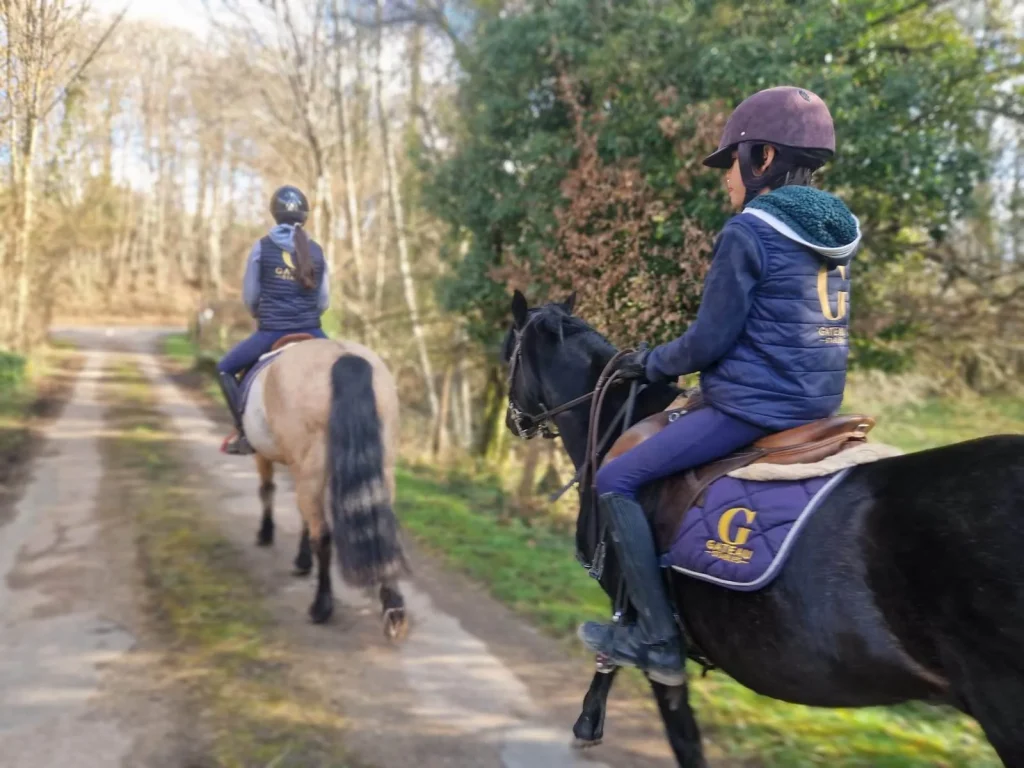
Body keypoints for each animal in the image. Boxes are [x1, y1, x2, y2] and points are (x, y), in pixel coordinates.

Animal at [233, 333, 407, 638]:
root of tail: (343, 356)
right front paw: (301, 558)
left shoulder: (267, 455)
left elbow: (268, 490)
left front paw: (267, 535)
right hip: (383, 464)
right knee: (383, 527)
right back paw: (394, 608)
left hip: (311, 467)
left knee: (323, 535)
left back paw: (321, 606)